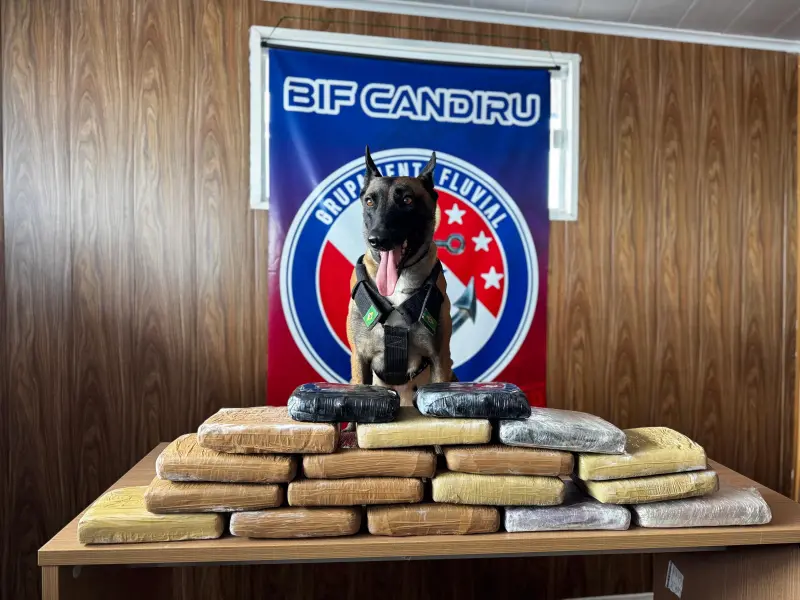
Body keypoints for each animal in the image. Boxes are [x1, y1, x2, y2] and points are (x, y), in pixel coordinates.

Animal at [346, 146, 455, 405]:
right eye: (369, 201)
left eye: (407, 200)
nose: (378, 239)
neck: (397, 286)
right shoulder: (360, 358)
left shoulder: (439, 359)